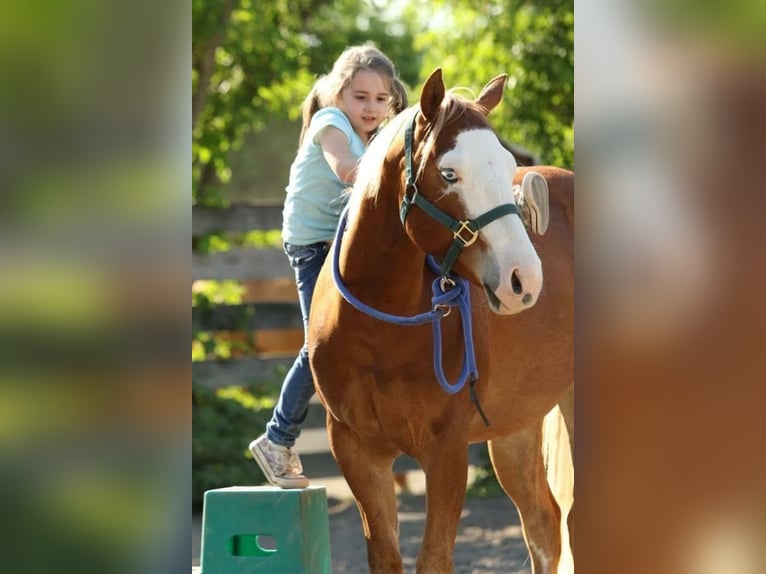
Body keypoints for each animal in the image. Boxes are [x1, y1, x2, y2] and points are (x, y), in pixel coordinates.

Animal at [309, 68, 574, 573]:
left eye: (507, 165)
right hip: (515, 429)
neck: (382, 331)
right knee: (543, 525)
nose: (524, 278)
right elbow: (386, 556)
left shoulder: (447, 451)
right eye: (450, 173)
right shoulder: (358, 452)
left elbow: (433, 559)